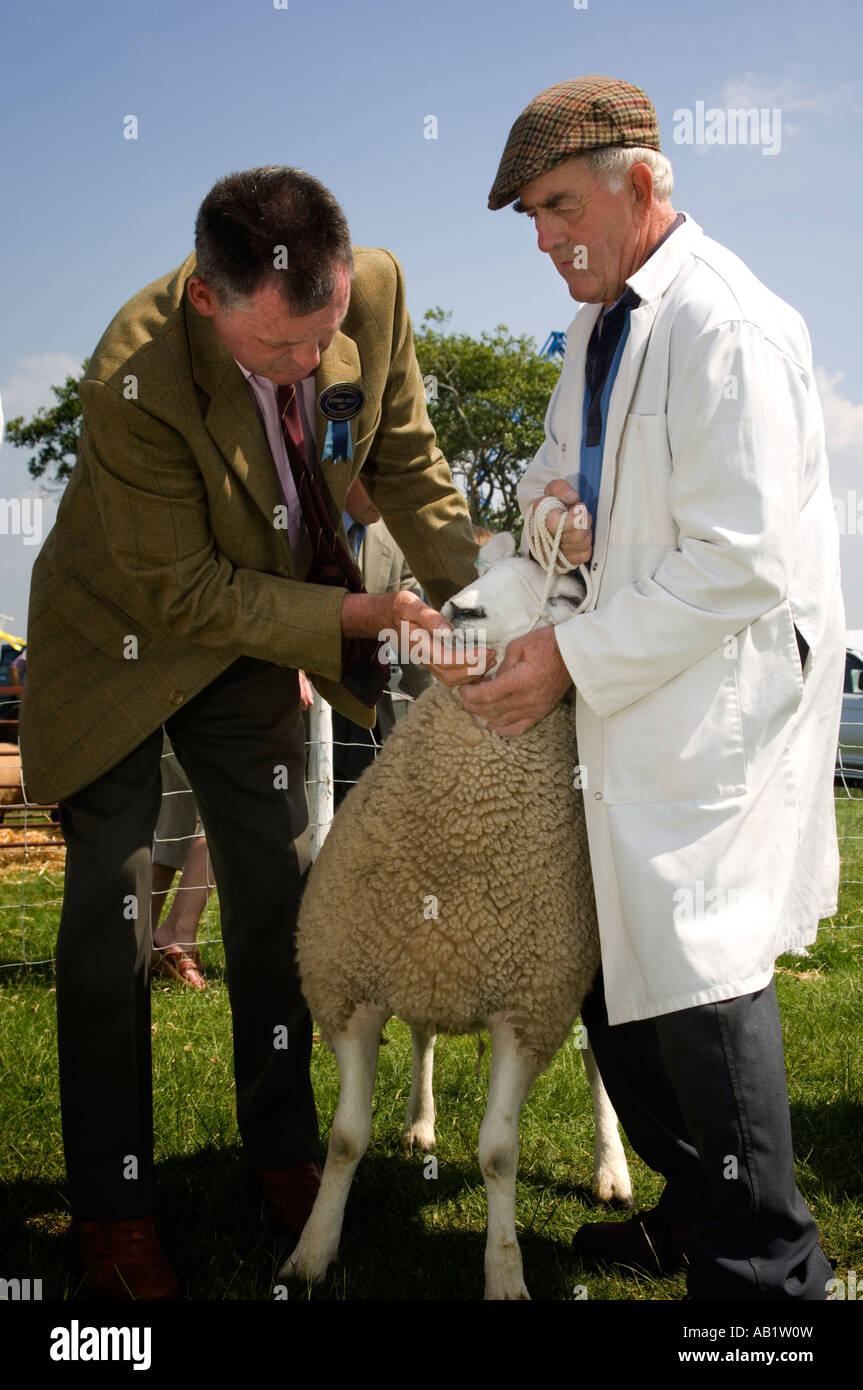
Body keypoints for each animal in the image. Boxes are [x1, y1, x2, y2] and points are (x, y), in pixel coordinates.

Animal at [286, 533, 628, 1301]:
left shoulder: (528, 1009)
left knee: (600, 1066)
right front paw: (312, 1252)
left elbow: (499, 1154)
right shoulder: (351, 989)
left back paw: (612, 1172)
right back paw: (419, 1123)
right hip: (421, 972)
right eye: (479, 572)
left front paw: (504, 1273)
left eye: (565, 596)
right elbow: (345, 1138)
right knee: (423, 1037)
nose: (460, 610)